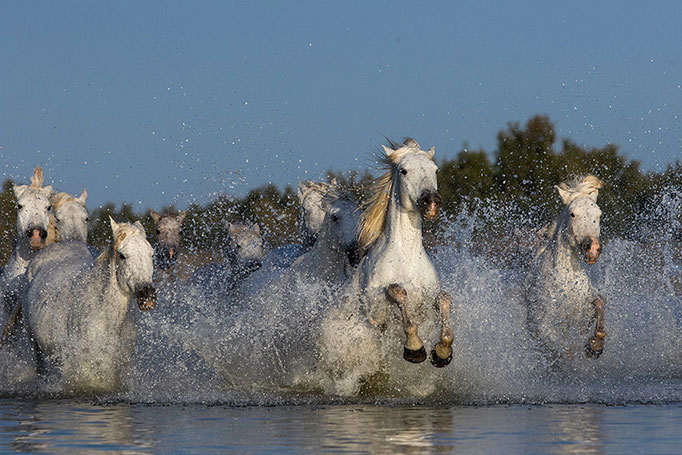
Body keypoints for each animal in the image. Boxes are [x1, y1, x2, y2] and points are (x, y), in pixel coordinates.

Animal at [348, 138, 453, 367]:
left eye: (435, 169)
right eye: (404, 171)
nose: (431, 202)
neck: (406, 257)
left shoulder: (427, 304)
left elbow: (444, 299)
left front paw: (442, 352)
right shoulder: (375, 313)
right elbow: (397, 291)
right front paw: (414, 348)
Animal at [524, 175, 606, 360]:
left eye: (598, 214)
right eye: (572, 214)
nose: (592, 248)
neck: (567, 283)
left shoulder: (582, 317)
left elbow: (599, 302)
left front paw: (595, 345)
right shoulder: (543, 327)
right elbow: (564, 351)